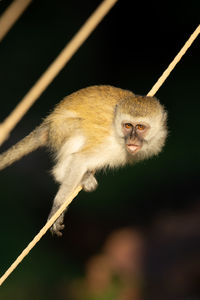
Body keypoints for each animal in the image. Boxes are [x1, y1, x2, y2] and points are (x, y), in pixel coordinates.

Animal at [0, 85, 167, 236]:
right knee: (79, 132)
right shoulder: (108, 143)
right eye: (127, 126)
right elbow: (80, 159)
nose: (132, 138)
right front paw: (58, 206)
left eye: (140, 127)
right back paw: (68, 175)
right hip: (60, 130)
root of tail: (48, 124)